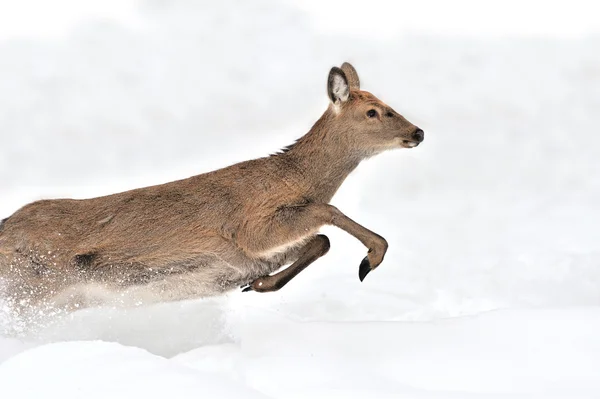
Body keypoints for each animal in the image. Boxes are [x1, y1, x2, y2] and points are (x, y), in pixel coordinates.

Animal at [0, 63, 422, 312]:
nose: (417, 132)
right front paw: (372, 257)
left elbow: (320, 240)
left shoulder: (259, 250)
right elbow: (328, 214)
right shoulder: (250, 227)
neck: (291, 179)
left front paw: (259, 285)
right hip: (35, 283)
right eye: (372, 111)